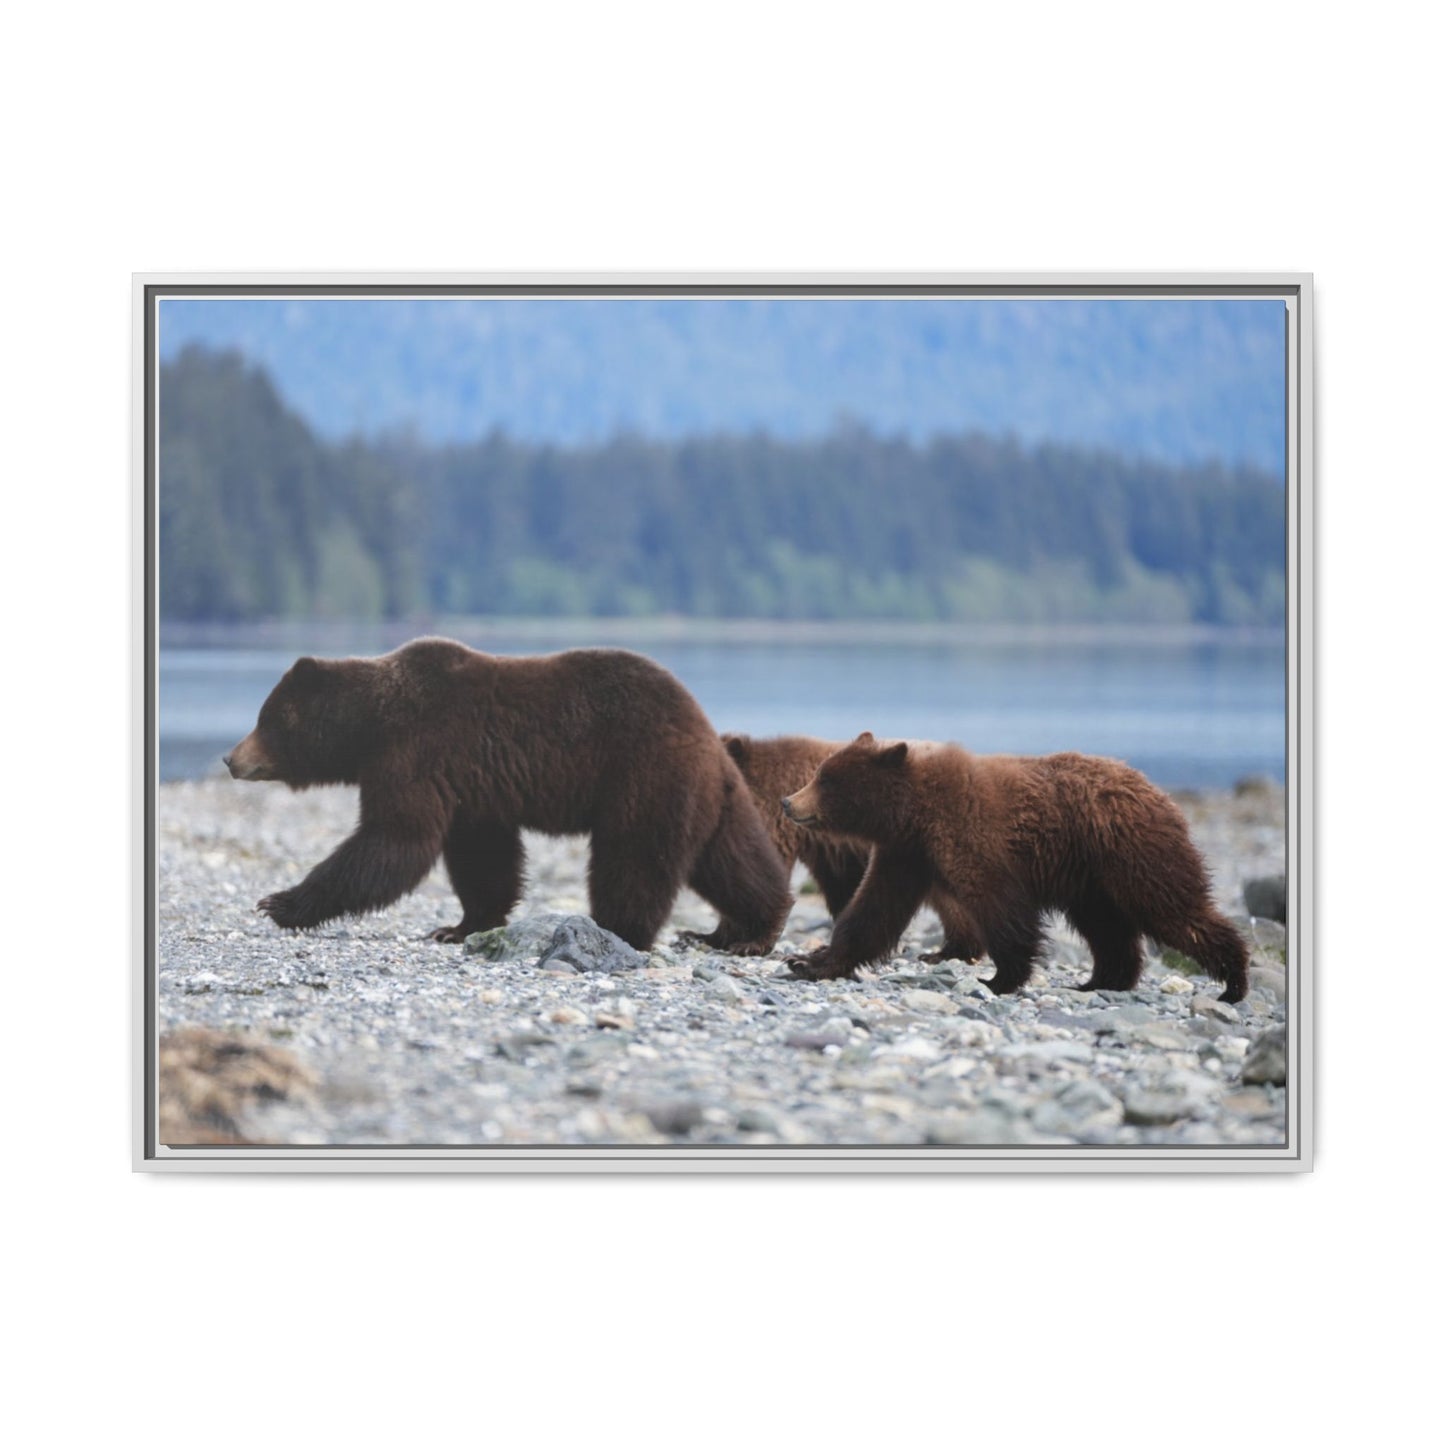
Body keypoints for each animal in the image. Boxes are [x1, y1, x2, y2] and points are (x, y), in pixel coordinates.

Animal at [224, 639, 792, 955]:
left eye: (265, 719)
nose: (230, 758)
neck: (371, 726)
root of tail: (705, 732)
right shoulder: (472, 788)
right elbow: (482, 858)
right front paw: (459, 926)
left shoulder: (417, 753)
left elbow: (394, 840)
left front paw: (280, 902)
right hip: (712, 796)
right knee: (733, 860)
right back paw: (748, 930)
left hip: (643, 777)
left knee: (633, 860)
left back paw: (617, 929)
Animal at [781, 732, 1250, 1003]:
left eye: (825, 779)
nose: (788, 802)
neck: (915, 812)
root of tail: (1158, 791)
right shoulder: (906, 853)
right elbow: (872, 910)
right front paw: (808, 961)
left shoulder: (973, 837)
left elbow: (1001, 908)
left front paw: (997, 979)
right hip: (1092, 881)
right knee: (1107, 928)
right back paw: (1100, 981)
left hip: (1132, 853)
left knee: (1173, 909)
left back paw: (1233, 981)